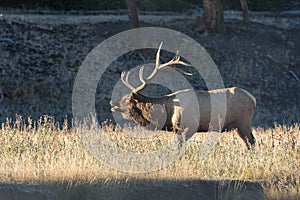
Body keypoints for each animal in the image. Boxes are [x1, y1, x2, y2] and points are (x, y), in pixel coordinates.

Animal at [110, 42, 255, 148]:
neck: (167, 114)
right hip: (237, 126)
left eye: (127, 99)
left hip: (243, 122)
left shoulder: (188, 127)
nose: (112, 102)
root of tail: (253, 99)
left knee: (252, 142)